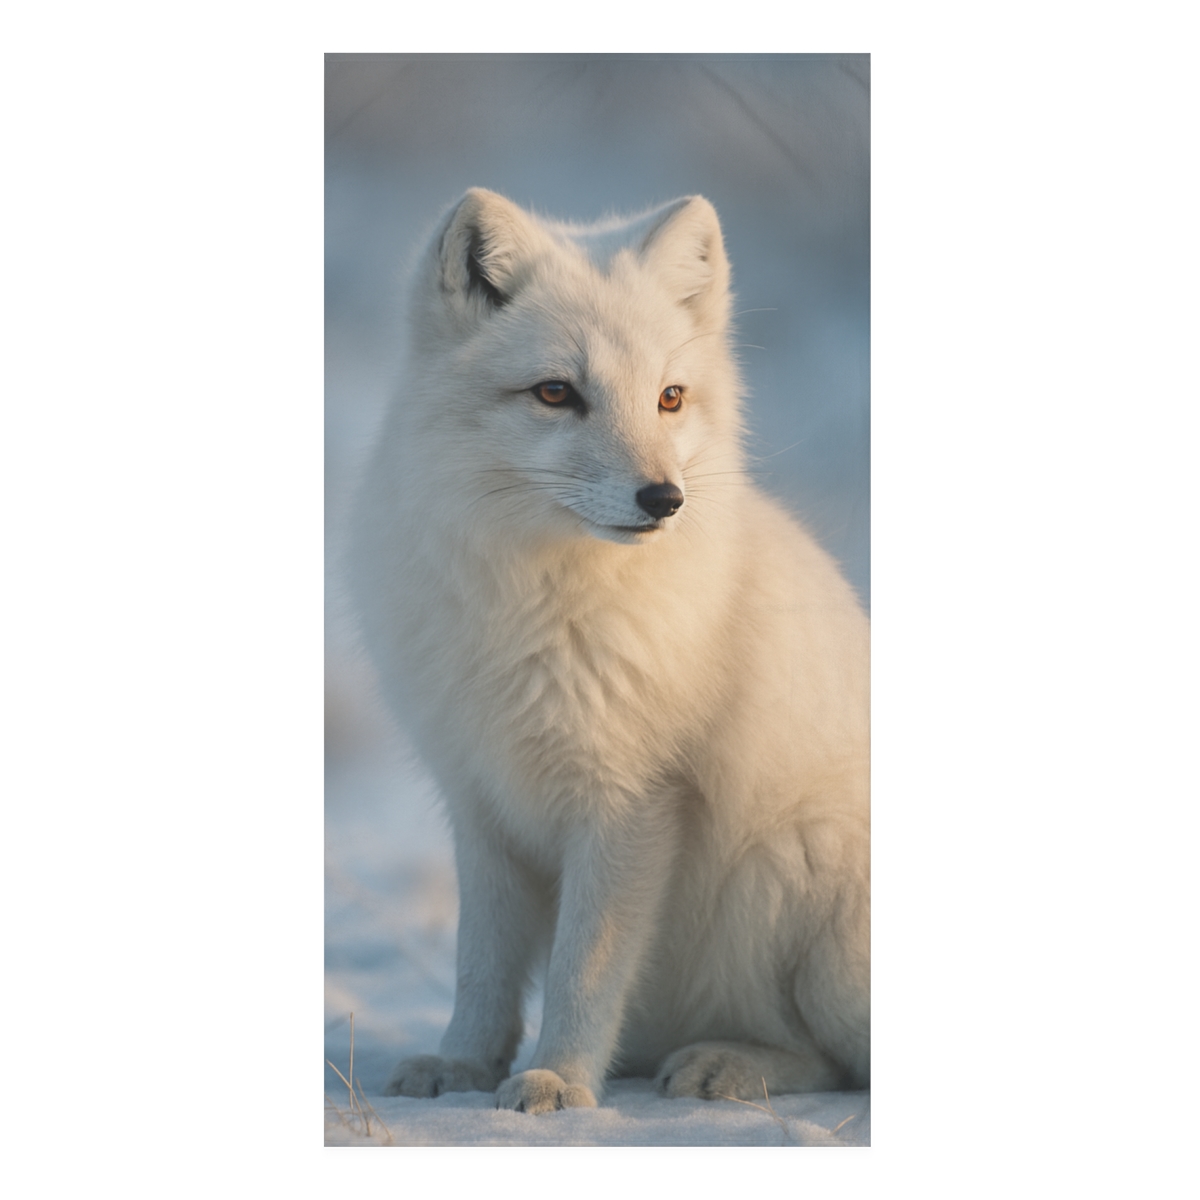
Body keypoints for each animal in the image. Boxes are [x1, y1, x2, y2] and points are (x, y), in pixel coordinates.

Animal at [348, 188, 870, 1114]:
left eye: (670, 397)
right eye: (556, 392)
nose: (664, 499)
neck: (534, 606)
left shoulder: (631, 799)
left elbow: (584, 969)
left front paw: (557, 1079)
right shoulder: (480, 799)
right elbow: (480, 968)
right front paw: (462, 1063)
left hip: (797, 882)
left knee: (837, 1062)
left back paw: (722, 1067)